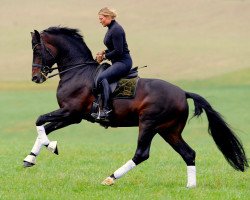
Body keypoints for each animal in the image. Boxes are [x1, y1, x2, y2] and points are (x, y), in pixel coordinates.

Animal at [23, 26, 248, 188]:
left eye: (37, 50)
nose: (36, 78)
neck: (77, 72)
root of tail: (182, 92)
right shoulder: (72, 117)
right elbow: (45, 127)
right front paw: (31, 158)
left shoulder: (70, 112)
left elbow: (39, 121)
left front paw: (51, 146)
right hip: (169, 130)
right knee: (188, 153)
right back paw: (190, 186)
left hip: (148, 124)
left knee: (142, 153)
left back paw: (110, 178)